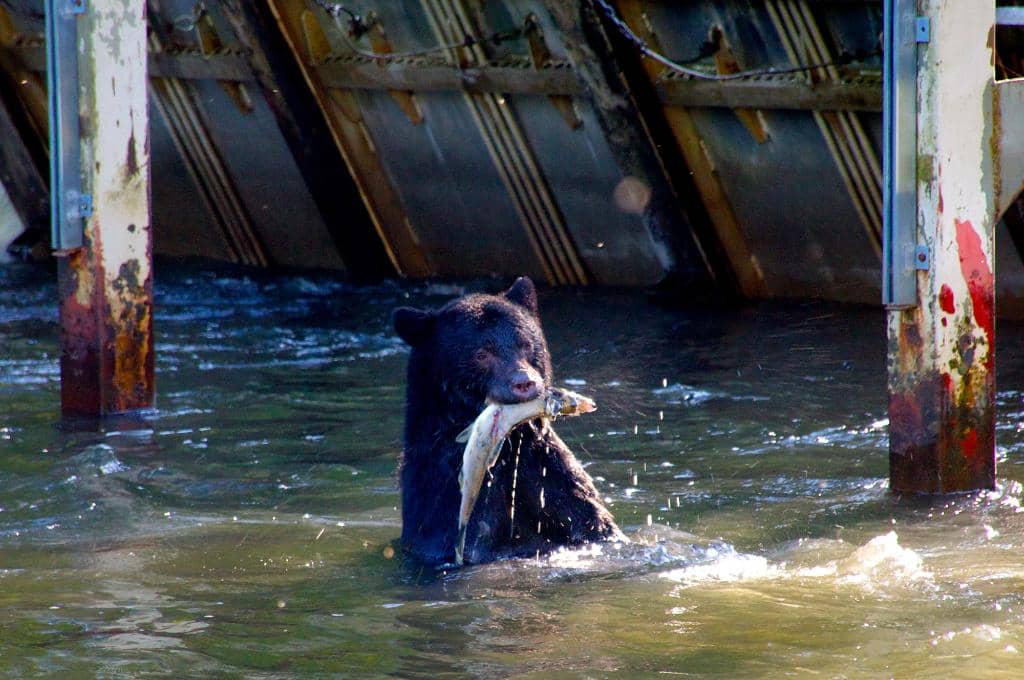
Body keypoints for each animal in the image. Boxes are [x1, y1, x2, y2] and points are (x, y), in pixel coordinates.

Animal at [392, 276, 623, 566]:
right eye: (482, 353)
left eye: (525, 344)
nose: (524, 382)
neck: (511, 440)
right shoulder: (442, 493)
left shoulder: (545, 467)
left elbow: (588, 515)